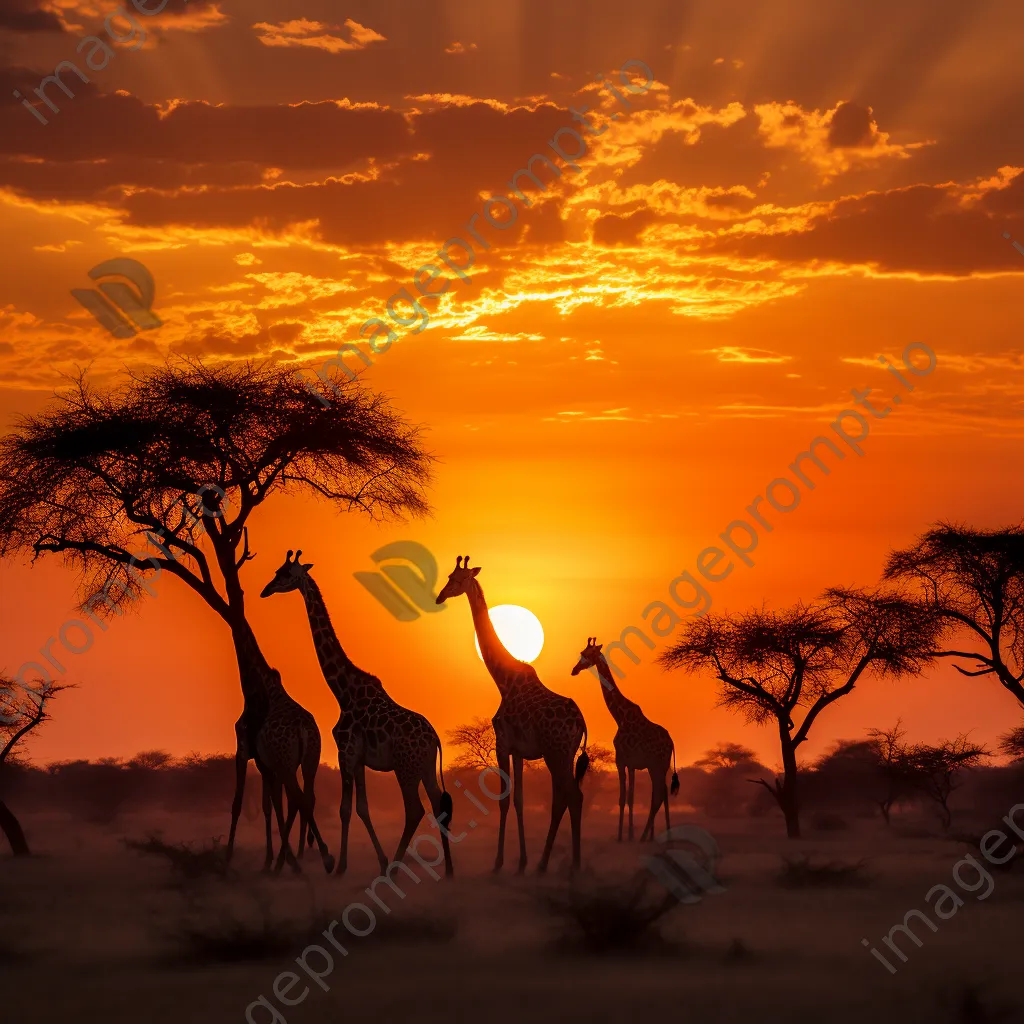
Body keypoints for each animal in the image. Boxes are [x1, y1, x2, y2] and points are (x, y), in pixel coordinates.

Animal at [225, 614, 333, 872]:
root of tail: (302, 729)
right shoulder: (267, 763)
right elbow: (270, 805)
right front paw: (270, 859)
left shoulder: (243, 752)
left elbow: (240, 802)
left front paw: (227, 859)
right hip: (309, 760)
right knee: (306, 797)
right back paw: (300, 855)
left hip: (286, 763)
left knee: (296, 798)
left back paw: (308, 858)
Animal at [262, 552, 454, 880]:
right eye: (277, 570)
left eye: (285, 573)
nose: (266, 589)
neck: (343, 691)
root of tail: (435, 739)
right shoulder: (361, 758)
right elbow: (362, 808)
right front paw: (375, 860)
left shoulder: (346, 752)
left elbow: (344, 809)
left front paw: (341, 865)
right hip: (426, 767)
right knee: (438, 804)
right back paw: (449, 871)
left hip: (405, 768)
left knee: (415, 809)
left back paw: (395, 870)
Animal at [434, 561, 593, 872]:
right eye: (448, 576)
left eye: (458, 579)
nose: (440, 596)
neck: (503, 680)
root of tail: (581, 721)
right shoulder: (519, 750)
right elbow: (519, 800)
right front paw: (521, 861)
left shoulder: (502, 744)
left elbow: (504, 801)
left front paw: (498, 863)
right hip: (564, 754)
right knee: (562, 799)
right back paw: (543, 863)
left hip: (556, 753)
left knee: (573, 796)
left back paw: (574, 865)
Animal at [573, 634, 675, 843]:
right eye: (582, 652)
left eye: (587, 653)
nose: (574, 670)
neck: (619, 717)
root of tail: (671, 743)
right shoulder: (633, 764)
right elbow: (630, 798)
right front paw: (629, 834)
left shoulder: (620, 760)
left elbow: (622, 798)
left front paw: (622, 837)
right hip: (660, 766)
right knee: (661, 793)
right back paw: (661, 835)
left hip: (656, 765)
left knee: (658, 795)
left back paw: (646, 837)